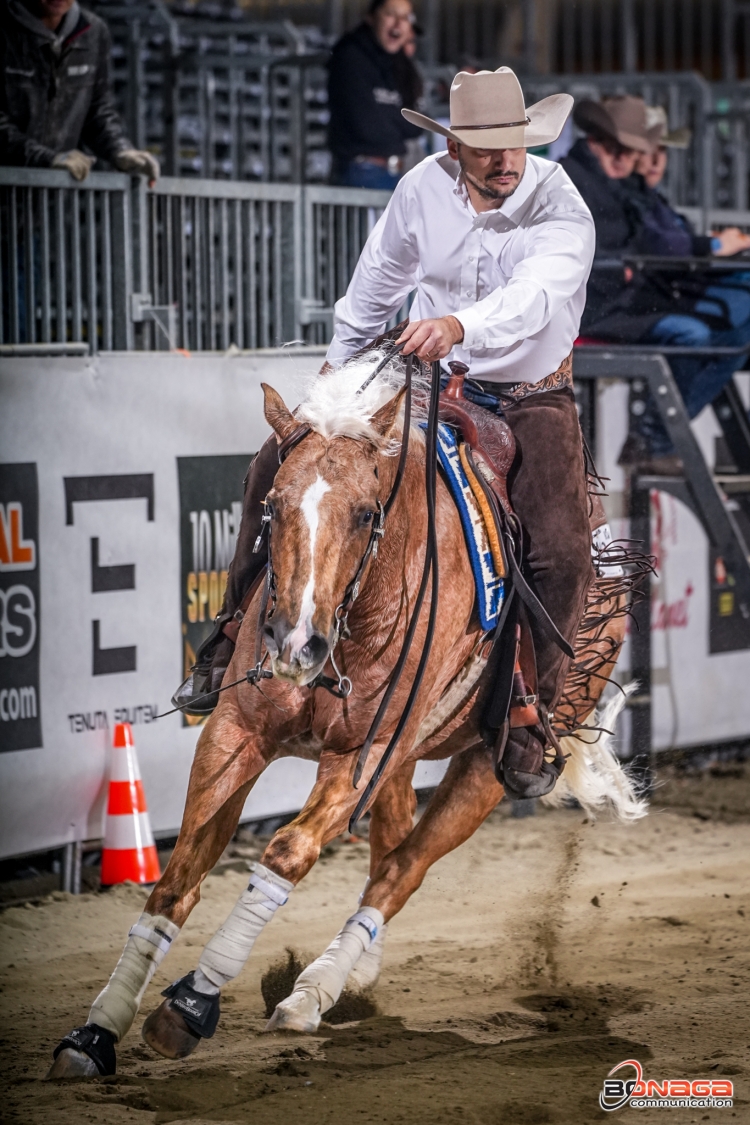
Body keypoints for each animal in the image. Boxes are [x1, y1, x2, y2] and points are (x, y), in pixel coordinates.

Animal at [48, 353, 647, 1080]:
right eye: (271, 506)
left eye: (366, 513)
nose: (294, 641)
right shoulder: (234, 733)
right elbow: (180, 873)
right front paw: (96, 1029)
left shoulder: (360, 757)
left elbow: (285, 854)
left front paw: (192, 1003)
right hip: (404, 756)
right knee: (389, 845)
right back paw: (352, 977)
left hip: (483, 766)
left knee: (402, 870)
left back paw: (314, 991)